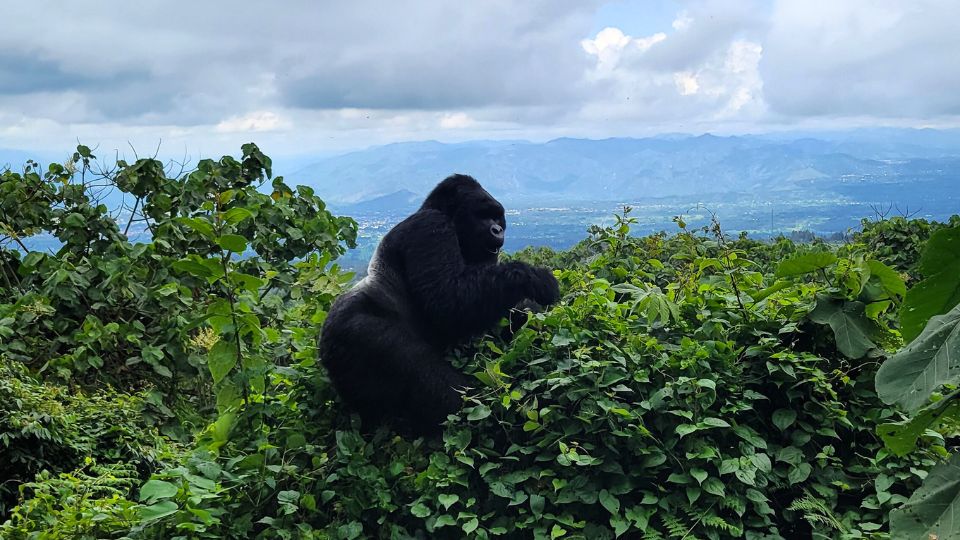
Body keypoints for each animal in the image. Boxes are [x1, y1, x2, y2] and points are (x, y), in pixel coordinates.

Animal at [320, 175, 564, 436]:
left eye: (498, 217)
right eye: (483, 215)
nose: (498, 230)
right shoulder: (430, 227)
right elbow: (449, 302)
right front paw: (533, 277)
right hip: (355, 331)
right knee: (429, 378)